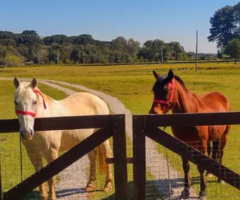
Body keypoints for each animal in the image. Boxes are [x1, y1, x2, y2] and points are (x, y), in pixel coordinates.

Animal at [148, 70, 231, 200]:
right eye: (154, 90)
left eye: (166, 90)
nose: (153, 113)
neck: (189, 114)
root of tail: (222, 96)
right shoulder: (183, 143)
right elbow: (186, 166)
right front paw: (186, 190)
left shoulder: (201, 143)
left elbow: (200, 166)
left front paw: (203, 192)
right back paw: (210, 173)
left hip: (223, 136)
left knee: (220, 152)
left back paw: (220, 179)